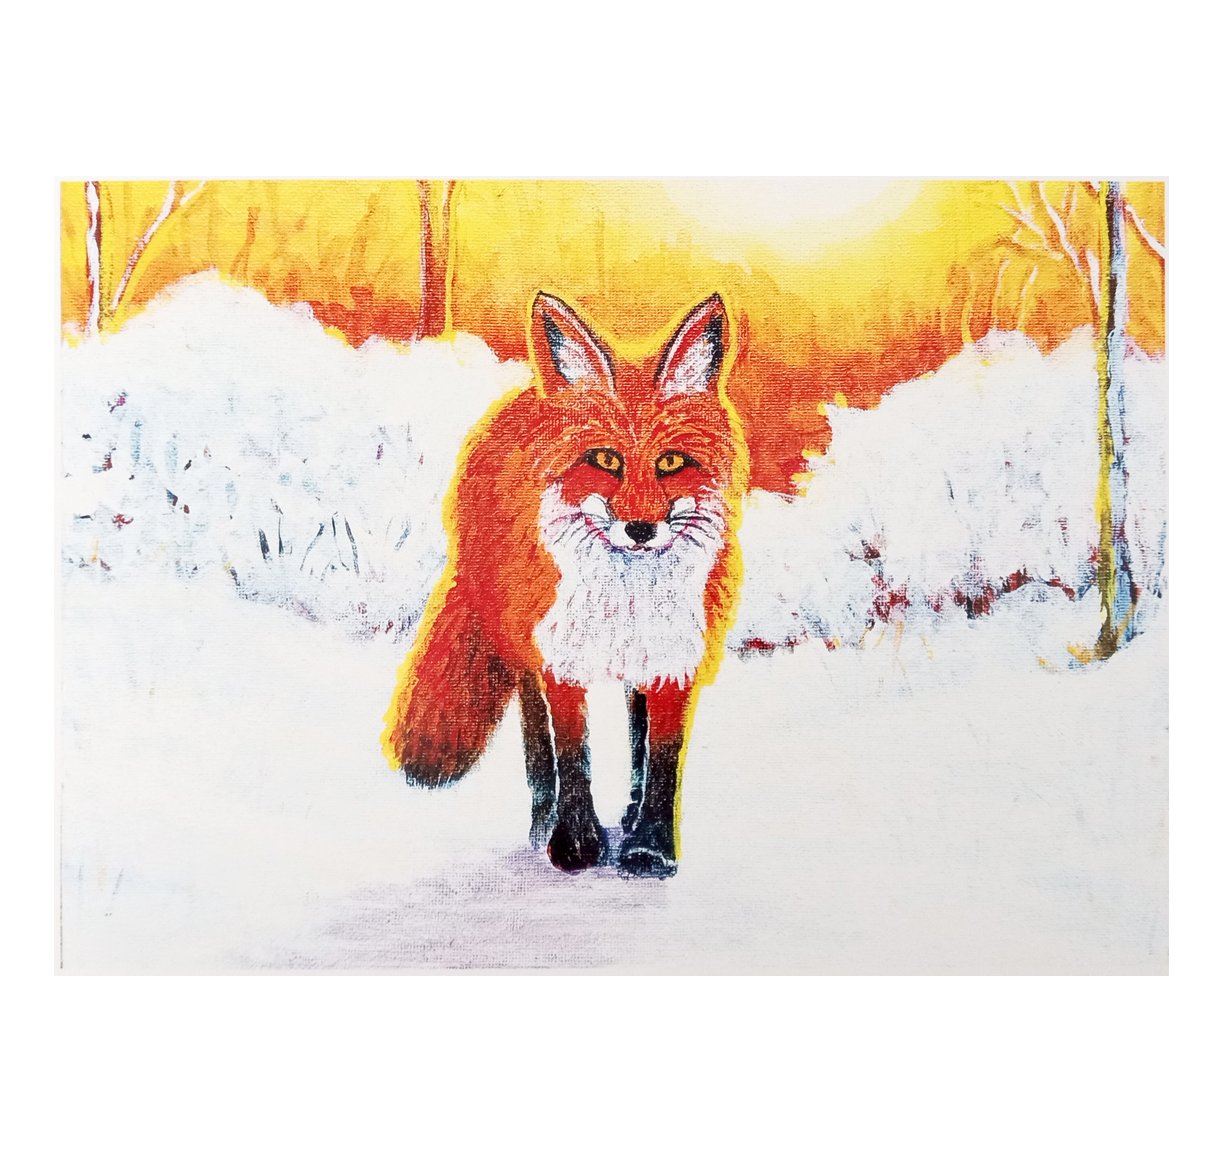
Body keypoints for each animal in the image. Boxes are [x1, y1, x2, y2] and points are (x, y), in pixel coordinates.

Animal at [382, 290, 748, 877]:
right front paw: (575, 844)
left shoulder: (674, 657)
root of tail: (525, 396)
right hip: (520, 646)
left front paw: (649, 848)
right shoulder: (561, 655)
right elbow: (572, 753)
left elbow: (661, 758)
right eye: (605, 460)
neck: (628, 598)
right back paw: (541, 822)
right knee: (537, 739)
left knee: (635, 732)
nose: (640, 529)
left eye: (671, 462)